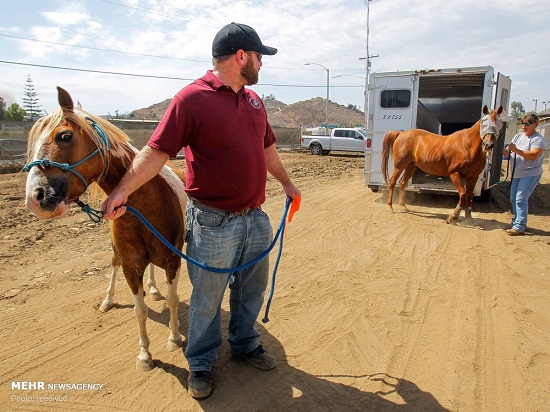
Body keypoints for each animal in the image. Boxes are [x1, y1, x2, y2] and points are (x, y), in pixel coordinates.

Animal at [24, 86, 188, 370]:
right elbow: (139, 310)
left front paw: (175, 337)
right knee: (113, 265)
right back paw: (109, 300)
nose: (35, 197)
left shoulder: (172, 259)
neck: (146, 203)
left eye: (64, 136)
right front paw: (144, 355)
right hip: (116, 252)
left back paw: (154, 289)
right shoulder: (130, 265)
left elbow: (173, 298)